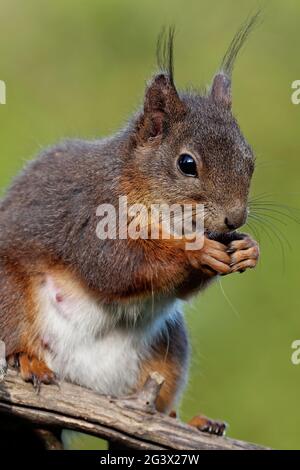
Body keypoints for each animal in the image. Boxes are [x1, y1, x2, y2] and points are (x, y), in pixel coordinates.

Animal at [0, 15, 258, 436]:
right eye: (187, 164)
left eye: (249, 159)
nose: (235, 219)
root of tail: (84, 382)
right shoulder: (91, 215)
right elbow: (116, 267)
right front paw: (196, 251)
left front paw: (249, 248)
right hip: (9, 292)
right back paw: (28, 361)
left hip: (168, 351)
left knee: (159, 399)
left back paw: (190, 421)